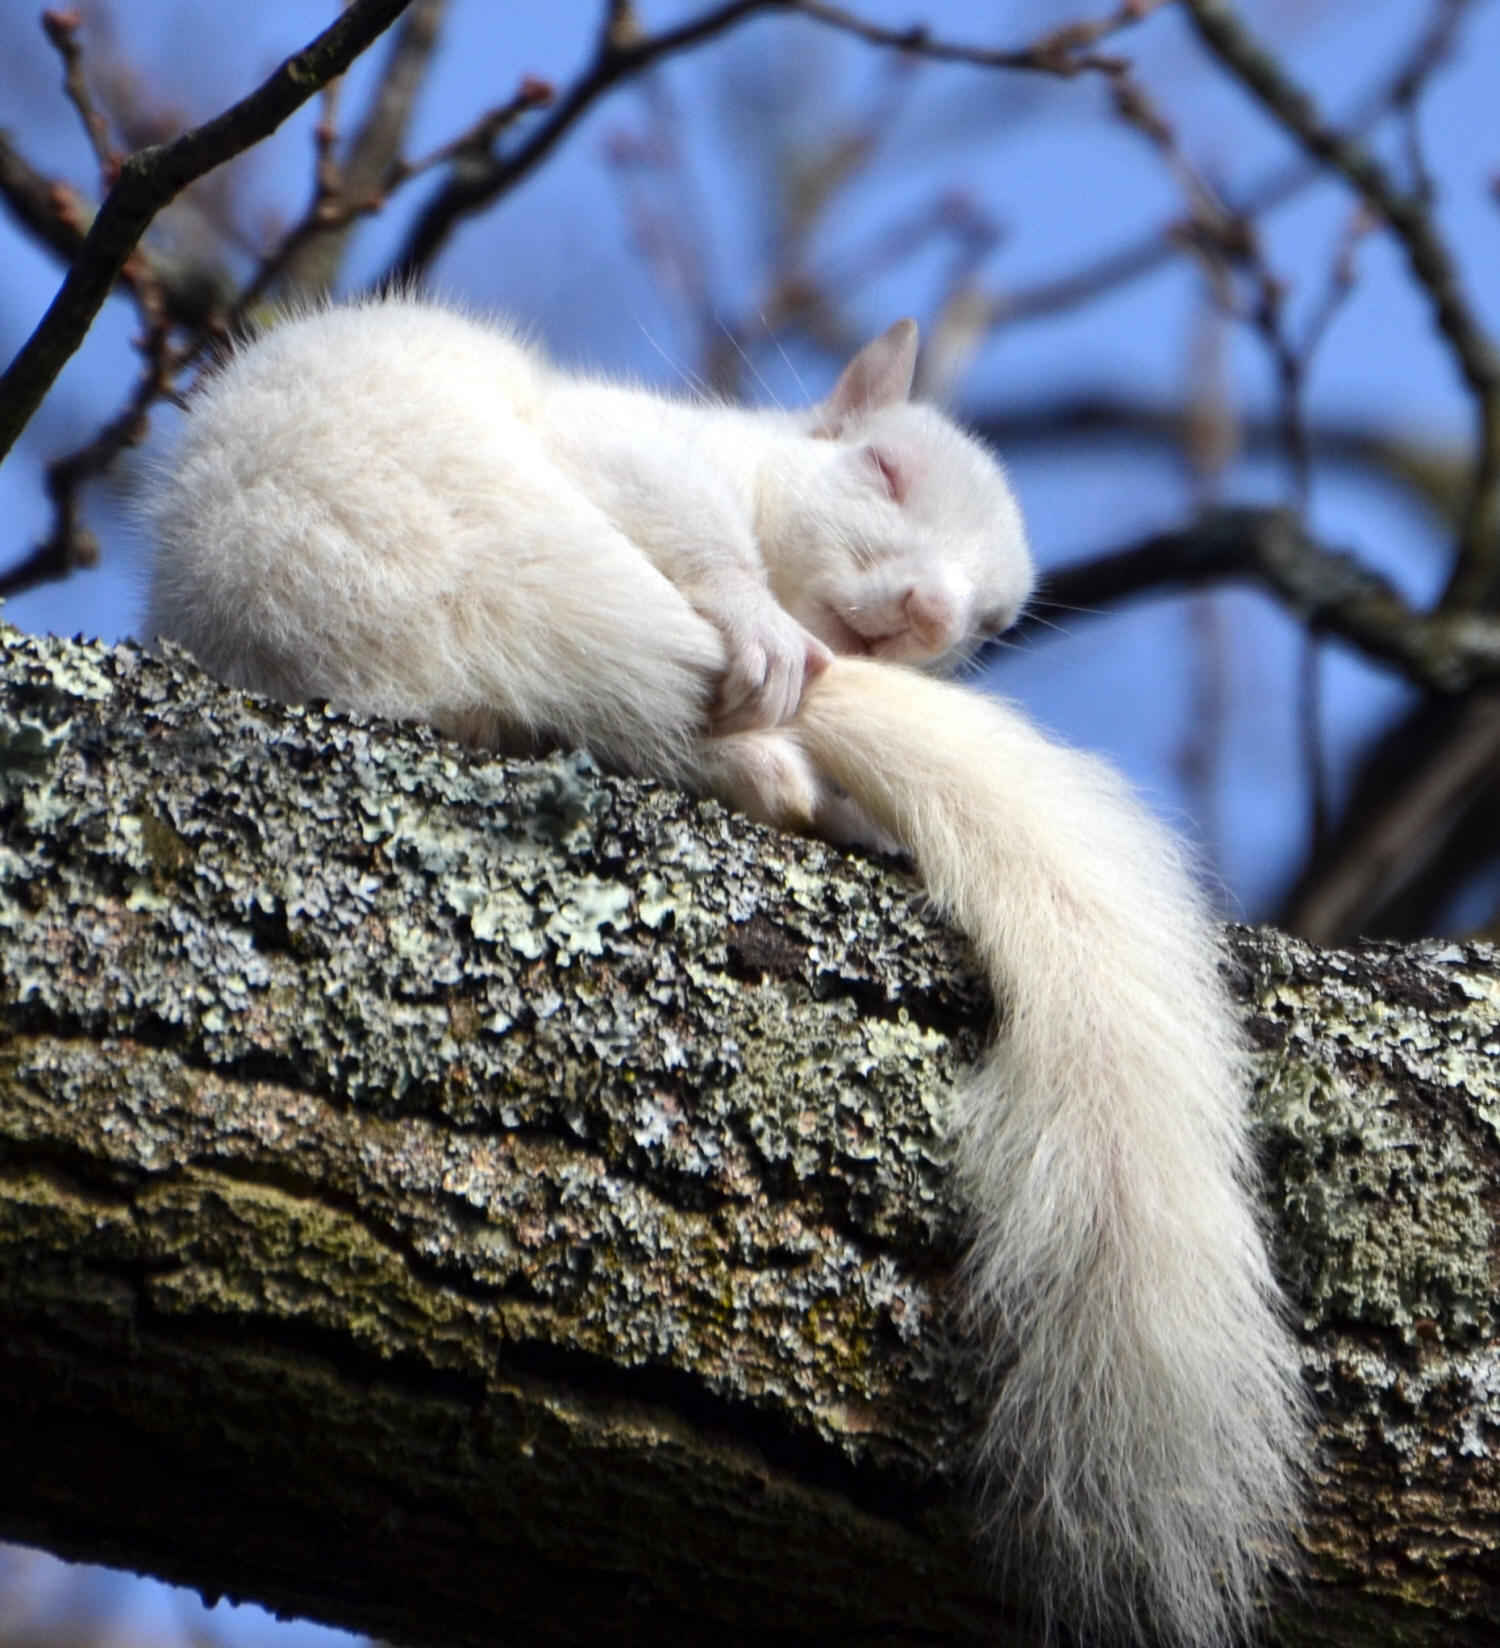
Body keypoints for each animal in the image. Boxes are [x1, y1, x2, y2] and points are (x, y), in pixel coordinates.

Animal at [146, 299, 1312, 1648]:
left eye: (990, 625)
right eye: (884, 469)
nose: (924, 615)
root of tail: (488, 571)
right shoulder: (655, 445)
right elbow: (683, 505)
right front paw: (761, 622)